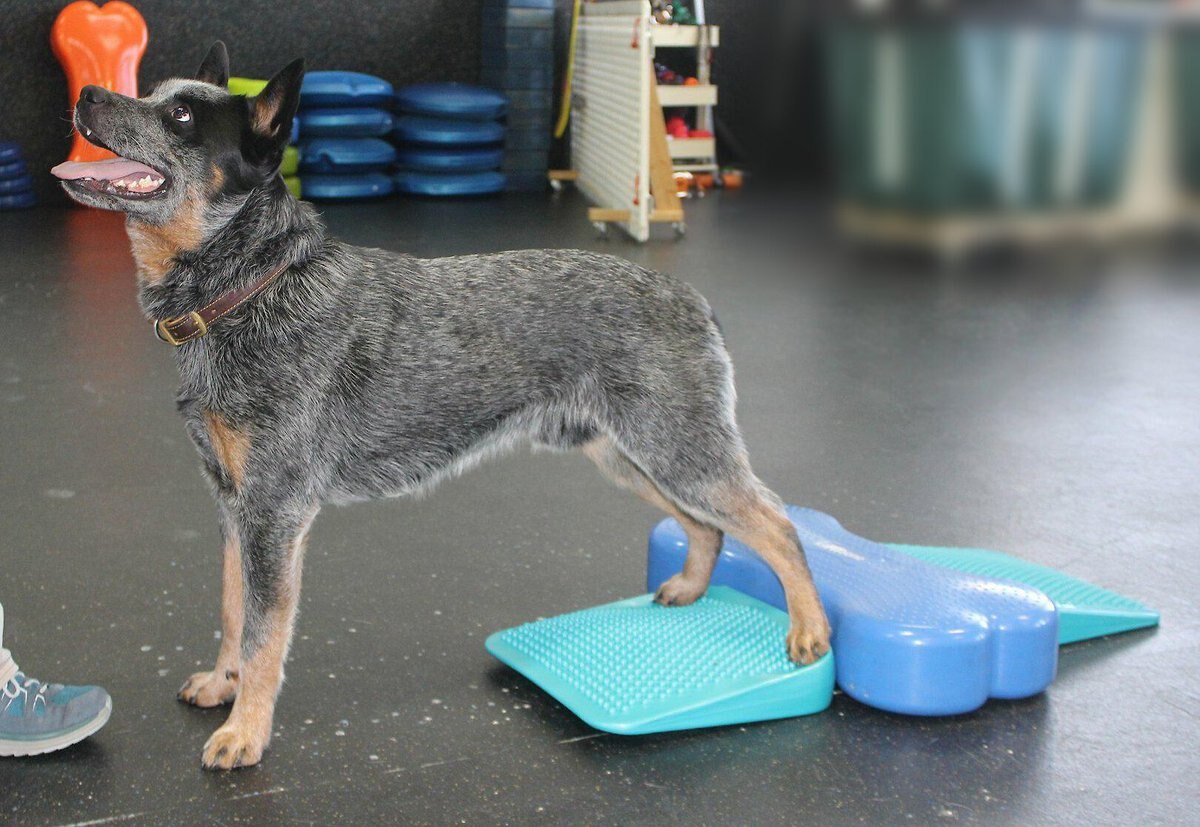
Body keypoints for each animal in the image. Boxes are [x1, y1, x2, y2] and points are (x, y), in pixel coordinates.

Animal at [49, 45, 835, 768]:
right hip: (629, 454)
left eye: (179, 117)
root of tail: (692, 296)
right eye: (152, 89)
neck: (247, 289)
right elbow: (232, 609)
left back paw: (809, 630)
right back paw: (691, 588)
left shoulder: (274, 512)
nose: (88, 94)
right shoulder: (234, 507)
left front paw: (246, 731)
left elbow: (266, 635)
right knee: (707, 526)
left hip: (678, 449)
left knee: (776, 522)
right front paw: (223, 683)